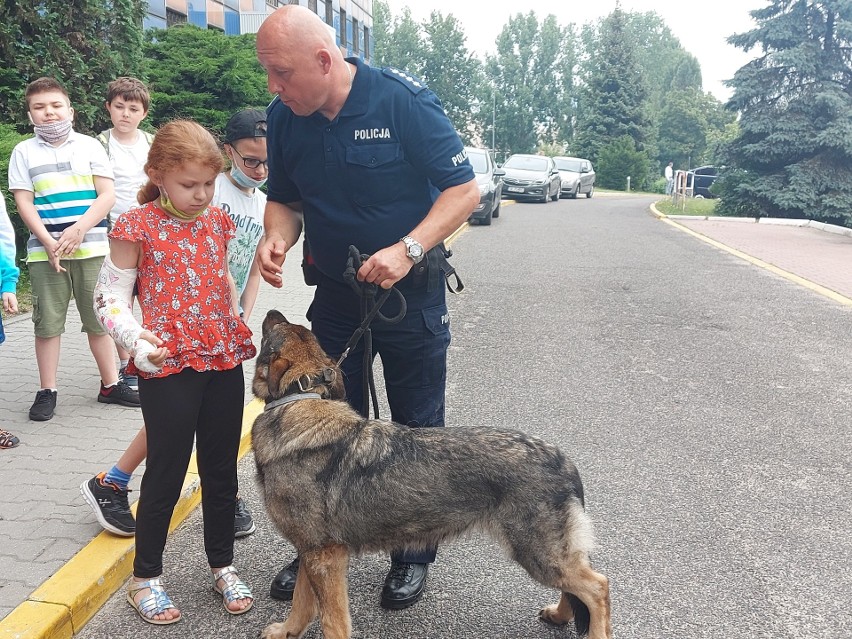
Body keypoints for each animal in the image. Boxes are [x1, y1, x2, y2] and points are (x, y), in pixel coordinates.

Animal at [250, 312, 608, 639]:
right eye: (291, 326)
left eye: (272, 332)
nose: (271, 312)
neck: (299, 400)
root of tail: (563, 461)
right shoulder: (311, 553)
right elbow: (301, 604)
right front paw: (286, 631)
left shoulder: (325, 558)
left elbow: (332, 620)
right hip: (547, 557)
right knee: (578, 587)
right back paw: (559, 616)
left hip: (538, 555)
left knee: (598, 587)